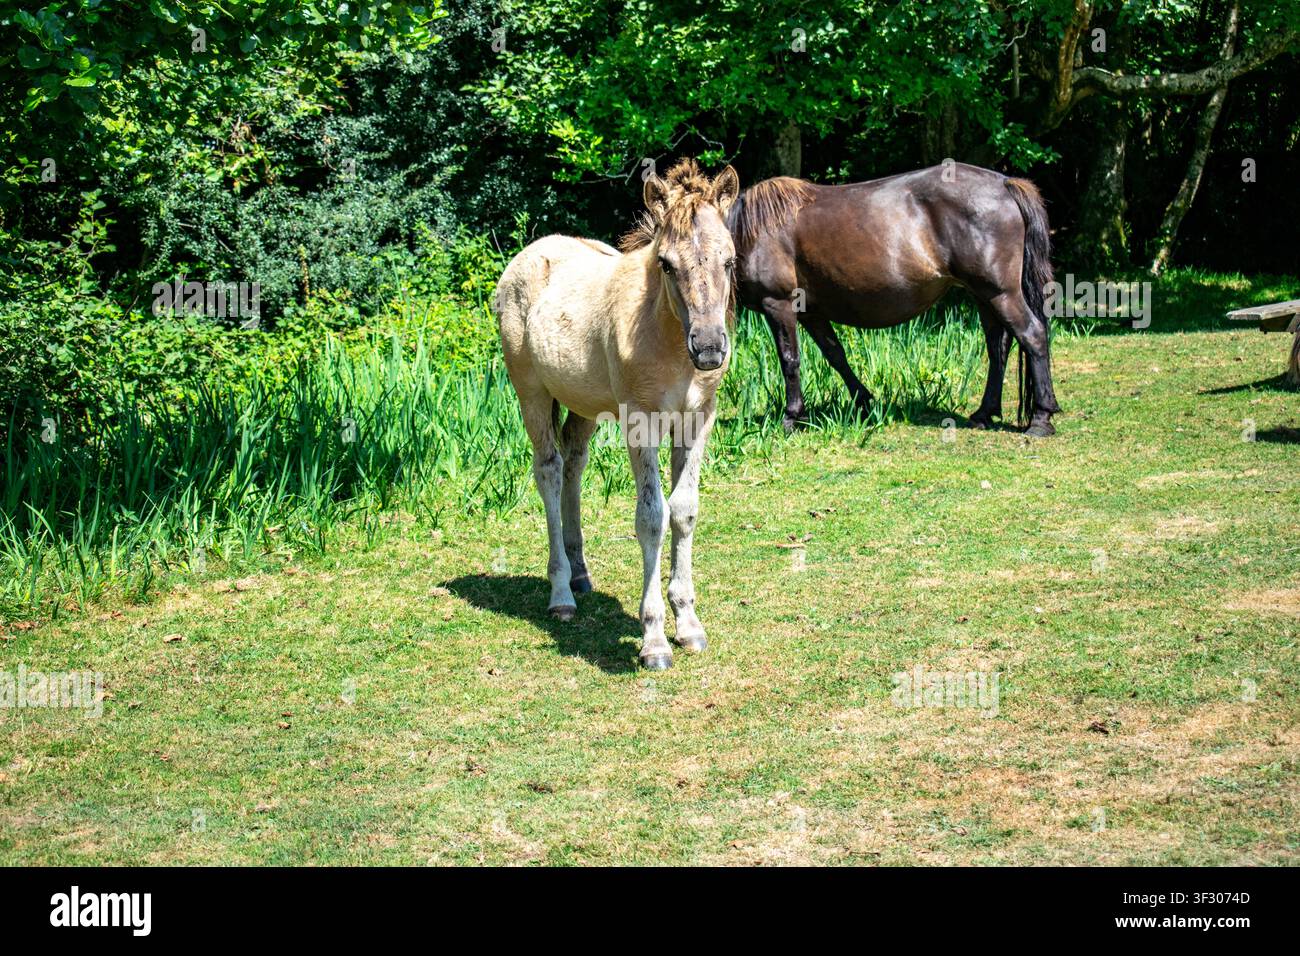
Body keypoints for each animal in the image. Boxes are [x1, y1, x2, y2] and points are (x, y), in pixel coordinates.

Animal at [495, 158, 740, 670]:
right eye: (666, 263)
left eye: (729, 260)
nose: (710, 348)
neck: (666, 338)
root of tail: (530, 252)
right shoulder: (639, 421)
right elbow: (651, 516)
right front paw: (655, 641)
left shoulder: (698, 418)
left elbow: (684, 510)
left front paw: (689, 624)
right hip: (531, 393)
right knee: (549, 471)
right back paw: (562, 594)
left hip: (582, 403)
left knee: (573, 464)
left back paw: (581, 574)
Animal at [727, 162, 1061, 436]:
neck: (745, 229)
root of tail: (1005, 184)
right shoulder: (811, 312)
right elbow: (836, 355)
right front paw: (864, 401)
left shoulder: (778, 304)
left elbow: (789, 359)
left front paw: (791, 417)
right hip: (984, 296)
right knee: (998, 347)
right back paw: (984, 413)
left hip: (1000, 293)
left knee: (1032, 335)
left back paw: (1041, 418)